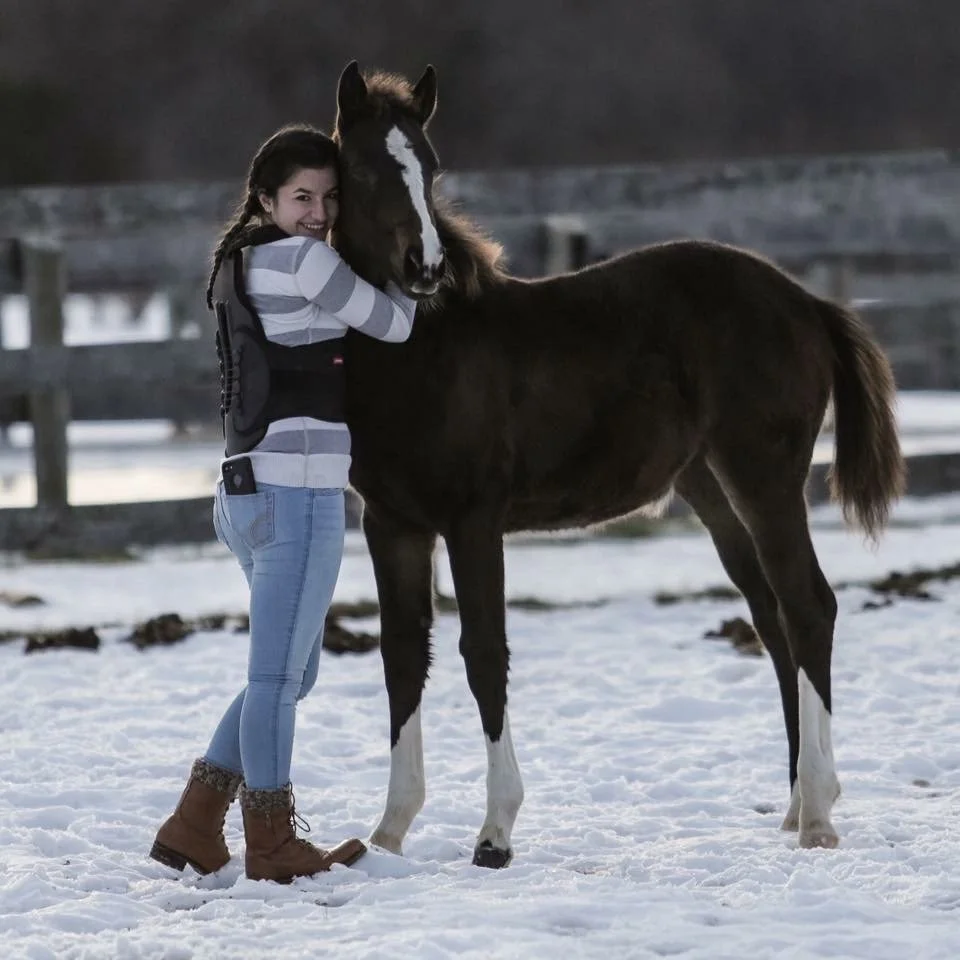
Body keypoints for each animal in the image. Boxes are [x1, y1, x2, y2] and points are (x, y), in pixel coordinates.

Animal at [330, 61, 905, 867]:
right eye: (359, 168)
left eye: (431, 166)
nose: (425, 267)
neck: (422, 349)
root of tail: (808, 302)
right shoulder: (394, 526)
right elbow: (404, 656)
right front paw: (388, 831)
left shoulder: (474, 520)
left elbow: (483, 652)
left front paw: (496, 832)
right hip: (713, 490)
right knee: (773, 619)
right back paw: (796, 806)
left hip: (765, 477)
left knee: (808, 607)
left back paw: (820, 813)